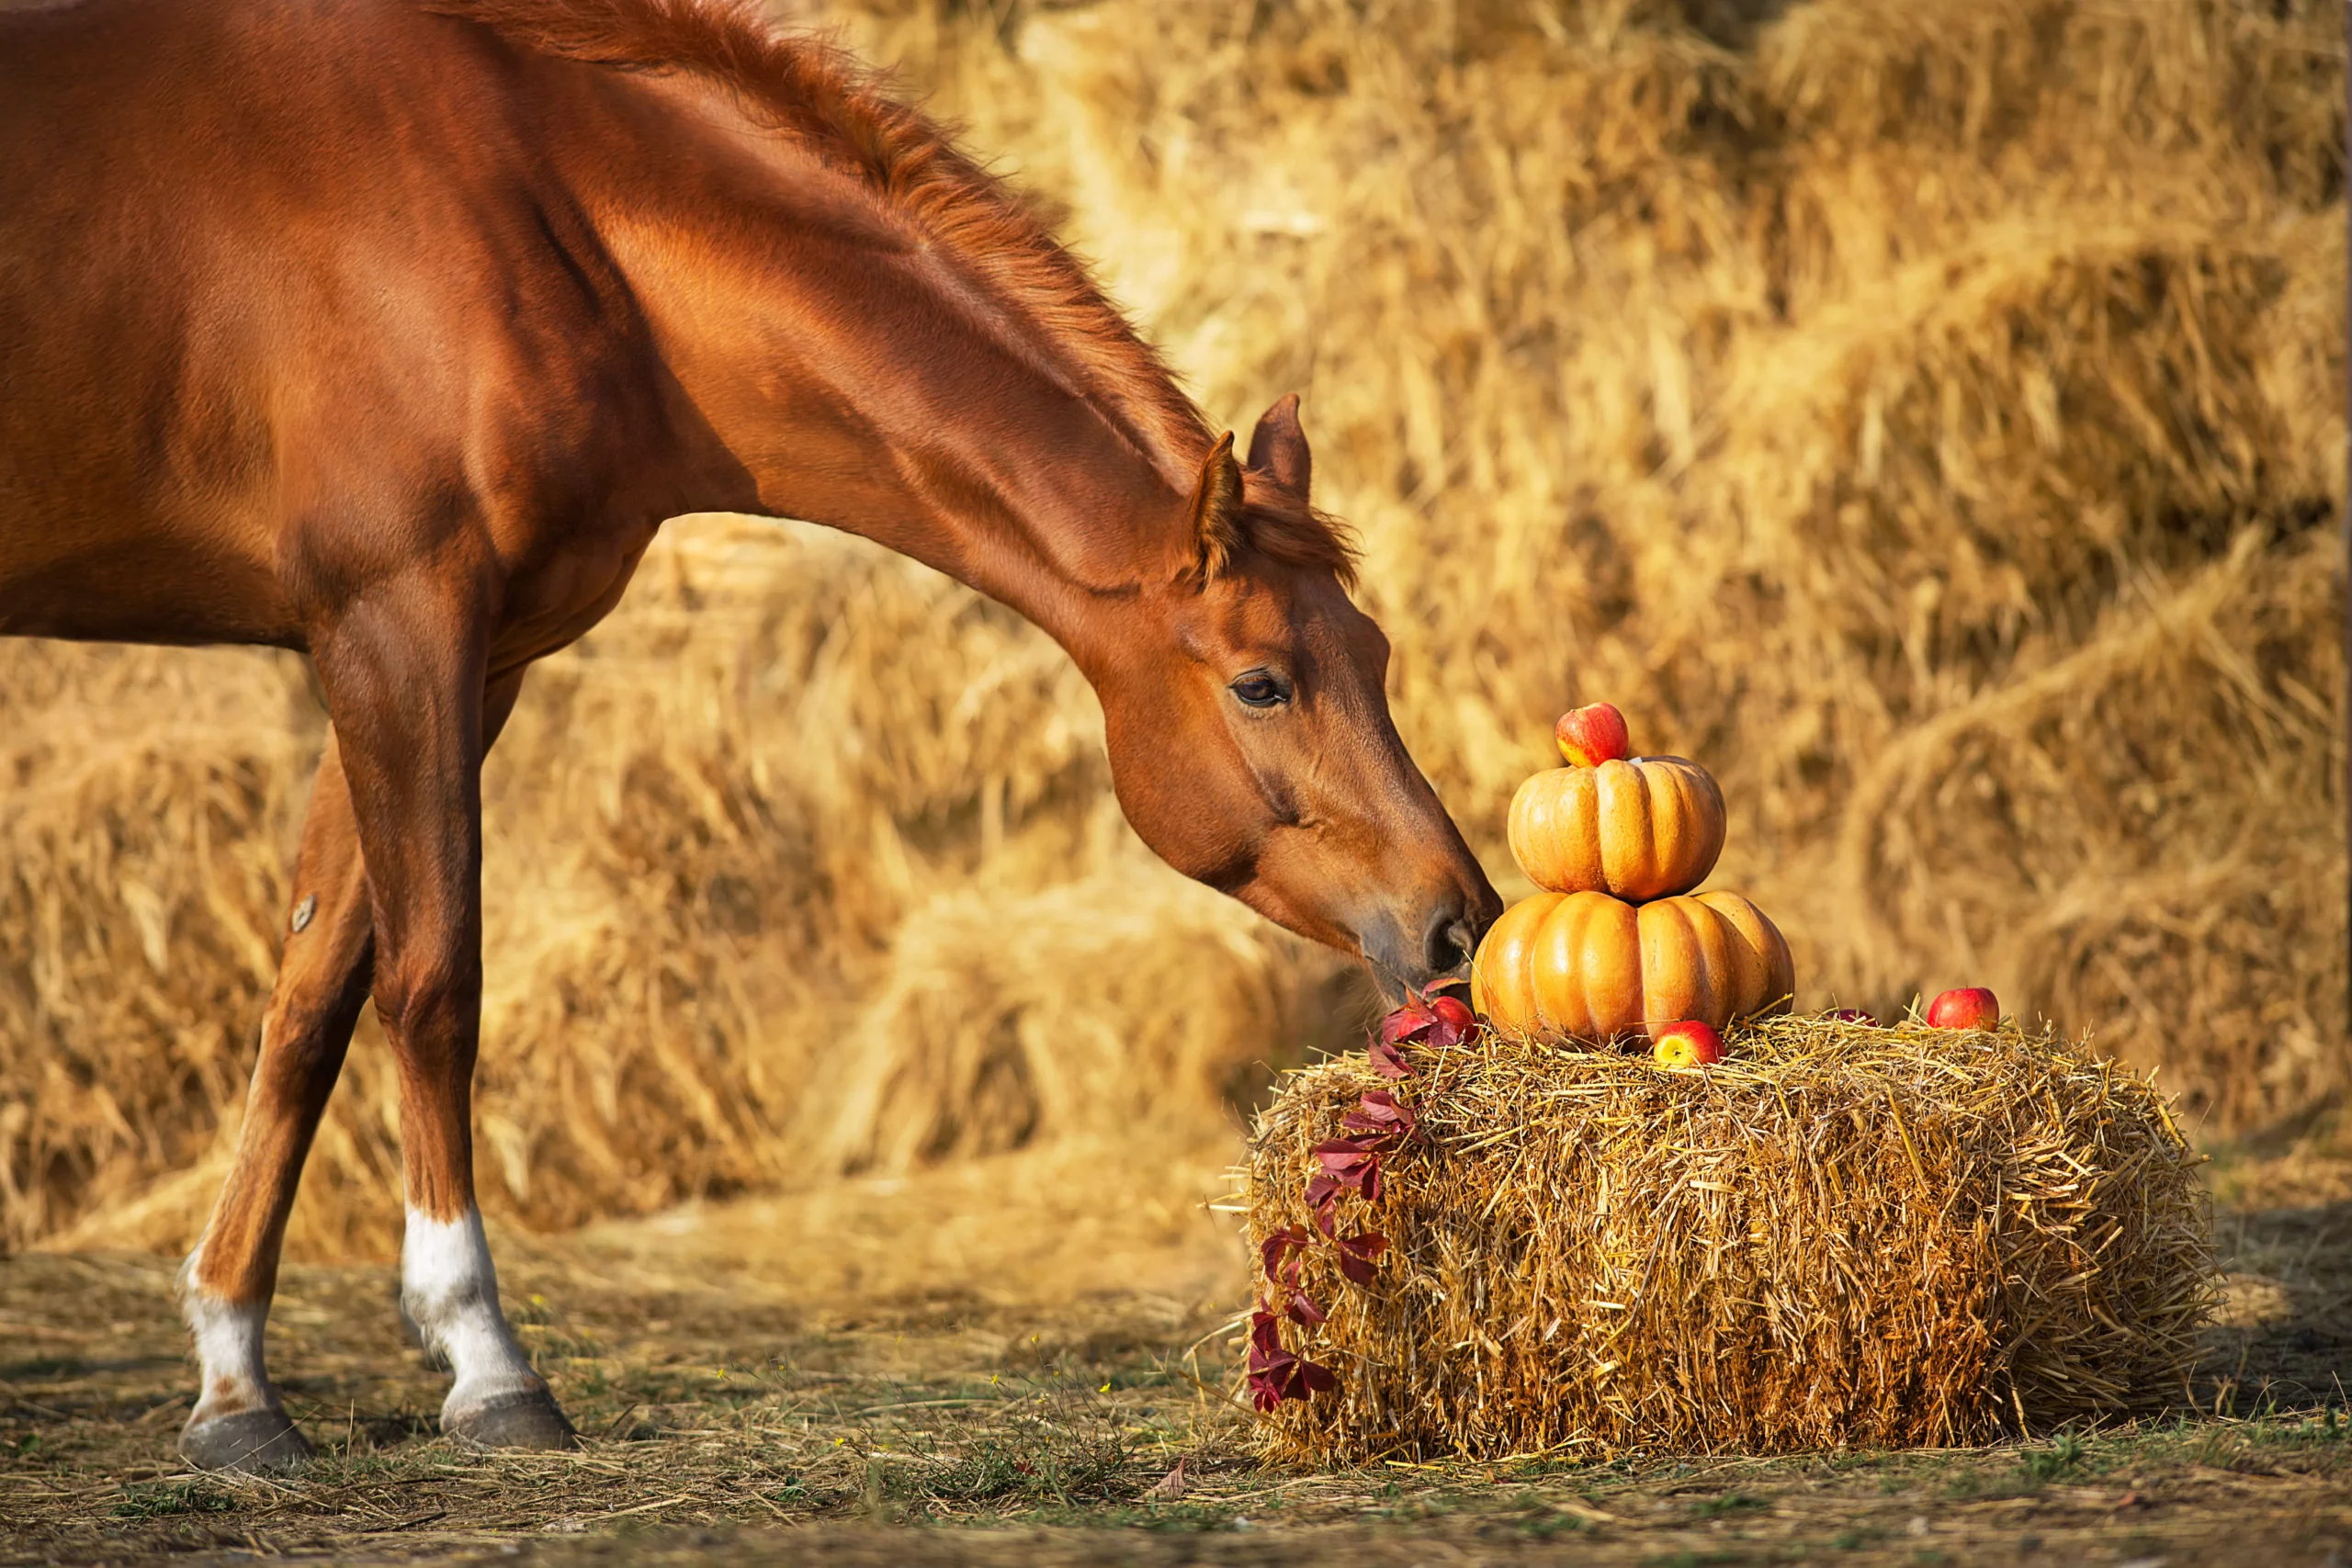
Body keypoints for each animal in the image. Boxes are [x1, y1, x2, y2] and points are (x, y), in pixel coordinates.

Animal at [0, 0, 1505, 1476]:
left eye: (1373, 654)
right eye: (1262, 684)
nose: (1459, 920)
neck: (536, 209)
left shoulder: (461, 660)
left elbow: (311, 997)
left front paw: (234, 1382)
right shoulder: (394, 625)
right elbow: (434, 984)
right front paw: (484, 1359)